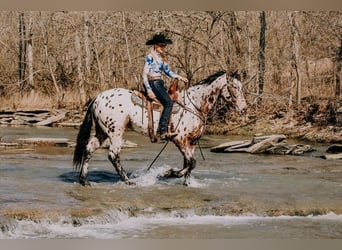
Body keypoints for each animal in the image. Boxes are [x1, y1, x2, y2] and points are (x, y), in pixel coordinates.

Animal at [73, 70, 247, 186]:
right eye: (234, 87)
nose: (244, 109)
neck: (194, 105)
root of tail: (97, 97)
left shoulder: (191, 143)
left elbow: (189, 163)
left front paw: (186, 183)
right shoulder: (180, 140)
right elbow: (191, 163)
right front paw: (169, 173)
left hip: (102, 131)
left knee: (89, 149)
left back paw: (84, 180)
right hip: (116, 132)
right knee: (113, 155)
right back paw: (128, 180)